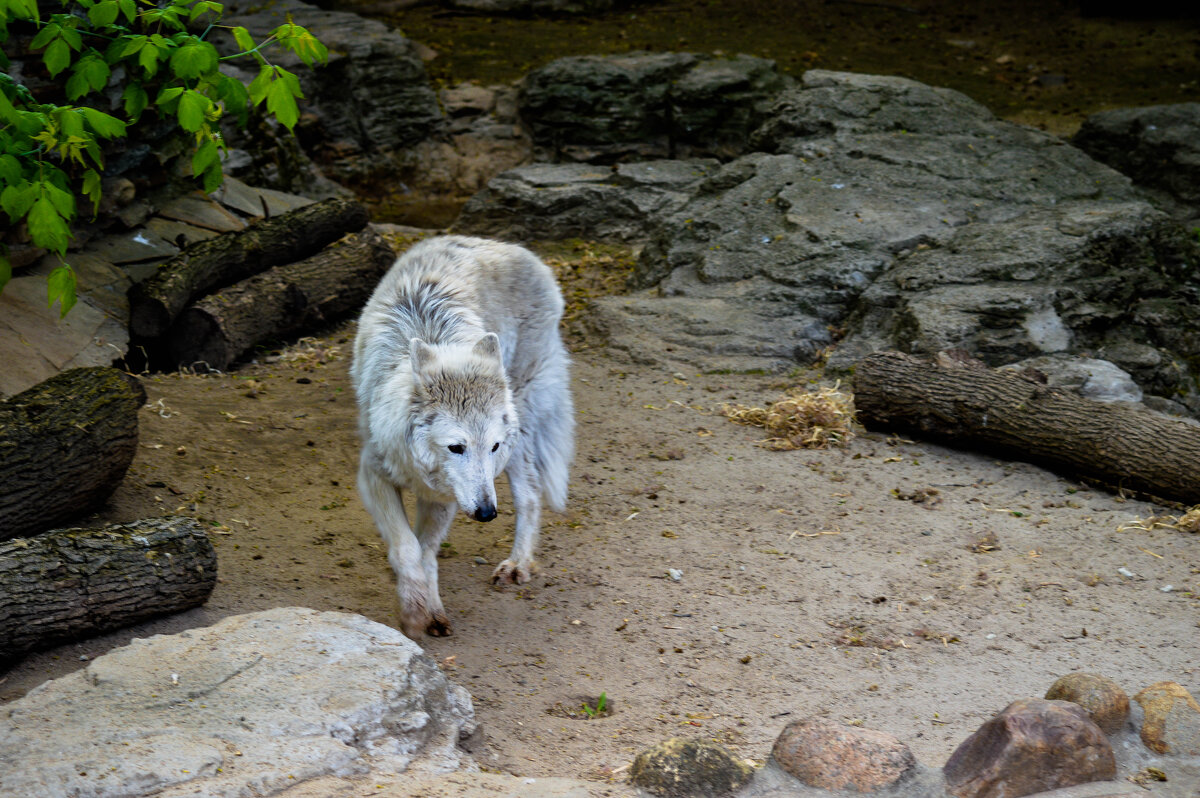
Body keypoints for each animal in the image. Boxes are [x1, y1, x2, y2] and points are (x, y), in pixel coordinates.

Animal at [350, 234, 573, 638]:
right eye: (456, 447)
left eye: (492, 446)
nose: (487, 513)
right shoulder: (374, 476)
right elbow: (407, 547)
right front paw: (415, 608)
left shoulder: (445, 497)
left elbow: (425, 553)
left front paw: (425, 609)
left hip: (521, 427)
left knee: (531, 495)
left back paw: (518, 564)